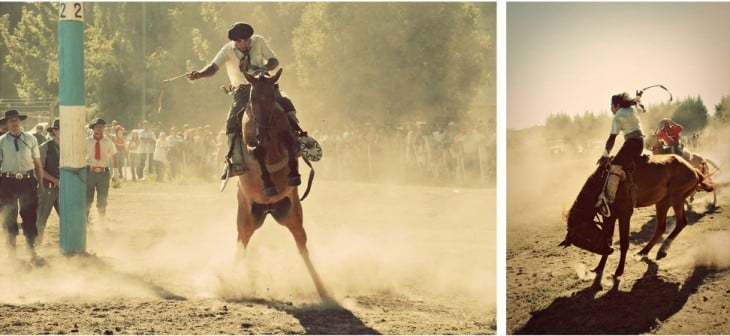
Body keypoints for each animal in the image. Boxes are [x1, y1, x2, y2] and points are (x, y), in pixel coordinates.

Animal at [235, 69, 328, 300]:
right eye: (253, 98)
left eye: (271, 96)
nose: (262, 133)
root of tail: (269, 209)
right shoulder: (251, 145)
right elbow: (257, 152)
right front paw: (268, 184)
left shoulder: (287, 137)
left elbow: (290, 143)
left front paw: (294, 175)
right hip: (246, 220)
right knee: (241, 245)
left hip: (293, 216)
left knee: (302, 247)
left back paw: (321, 288)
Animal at [556, 155, 712, 286]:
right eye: (583, 244)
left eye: (587, 238)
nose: (609, 251)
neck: (602, 184)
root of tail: (694, 170)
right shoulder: (609, 217)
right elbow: (608, 237)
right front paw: (599, 267)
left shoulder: (625, 215)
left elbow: (624, 243)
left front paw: (618, 271)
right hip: (663, 202)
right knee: (661, 227)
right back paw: (643, 252)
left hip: (677, 198)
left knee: (681, 222)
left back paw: (662, 250)